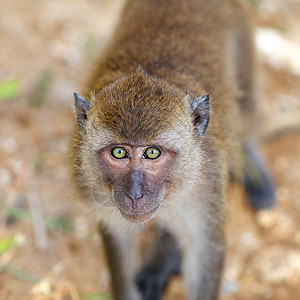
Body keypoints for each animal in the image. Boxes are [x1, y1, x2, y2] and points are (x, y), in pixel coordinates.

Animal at [69, 0, 274, 300]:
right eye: (119, 152)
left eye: (152, 153)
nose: (135, 194)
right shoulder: (91, 183)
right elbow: (118, 238)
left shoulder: (207, 182)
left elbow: (203, 252)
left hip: (242, 39)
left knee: (246, 112)